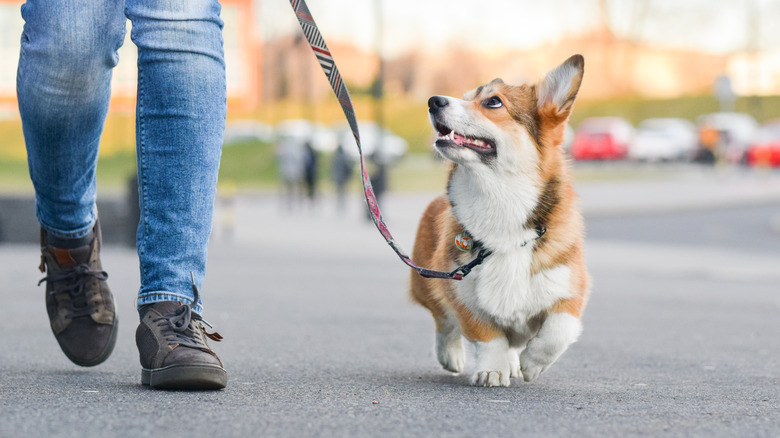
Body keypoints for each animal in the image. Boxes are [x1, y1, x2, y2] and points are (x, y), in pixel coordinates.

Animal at [412, 54, 588, 386]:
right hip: (426, 281)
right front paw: (492, 369)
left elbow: (558, 330)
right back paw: (452, 355)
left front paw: (532, 363)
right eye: (466, 96)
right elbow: (487, 336)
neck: (500, 199)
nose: (433, 101)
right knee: (443, 321)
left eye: (493, 102)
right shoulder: (461, 291)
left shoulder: (570, 289)